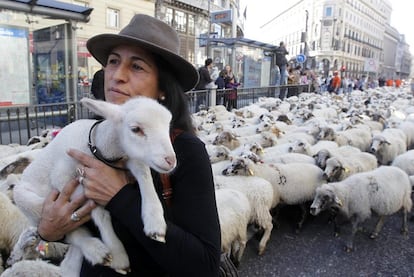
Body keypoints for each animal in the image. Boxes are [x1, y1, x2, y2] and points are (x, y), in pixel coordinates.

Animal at [12, 96, 177, 274]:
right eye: (135, 129)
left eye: (168, 126)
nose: (171, 160)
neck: (99, 147)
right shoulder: (62, 176)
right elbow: (98, 210)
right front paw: (118, 255)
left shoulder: (128, 158)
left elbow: (144, 173)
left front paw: (155, 222)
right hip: (30, 205)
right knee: (71, 233)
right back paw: (96, 250)